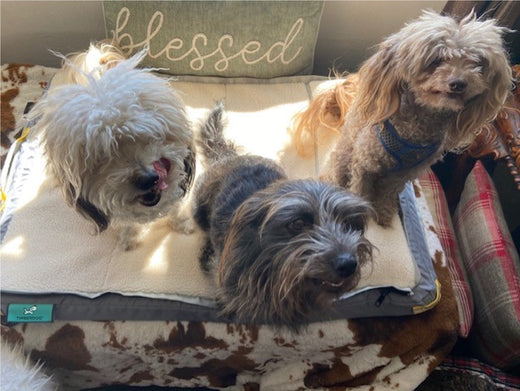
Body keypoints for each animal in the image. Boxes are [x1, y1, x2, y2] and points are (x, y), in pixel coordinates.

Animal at [31, 43, 197, 251]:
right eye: (102, 157)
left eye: (151, 136)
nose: (147, 179)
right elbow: (127, 222)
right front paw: (129, 238)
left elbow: (176, 207)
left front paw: (183, 224)